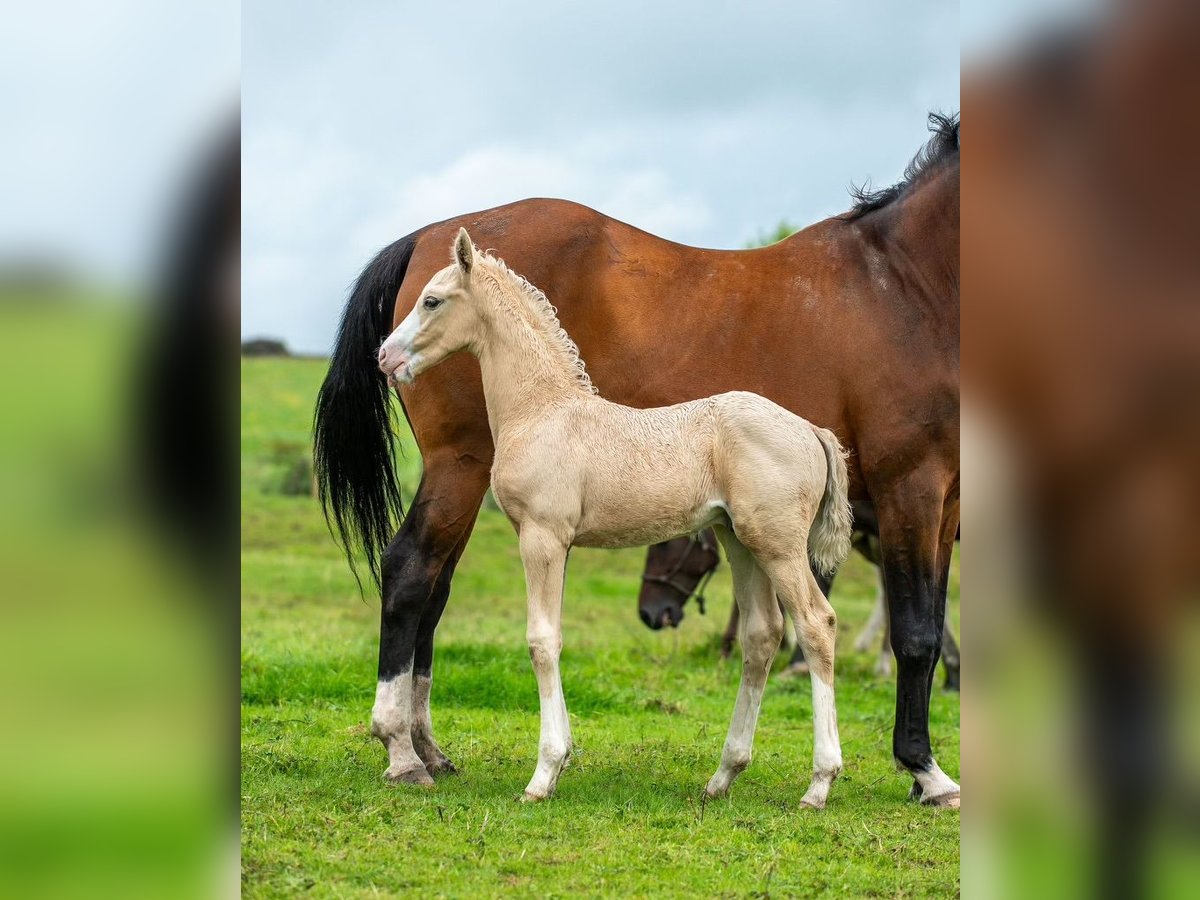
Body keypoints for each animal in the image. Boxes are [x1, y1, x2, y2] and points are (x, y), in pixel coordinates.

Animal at [374, 229, 854, 806]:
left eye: (432, 301)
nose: (384, 356)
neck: (542, 409)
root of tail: (812, 430)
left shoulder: (542, 537)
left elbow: (541, 640)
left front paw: (543, 774)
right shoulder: (556, 543)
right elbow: (554, 636)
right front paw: (560, 760)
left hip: (779, 545)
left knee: (816, 624)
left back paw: (820, 783)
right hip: (740, 541)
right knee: (762, 636)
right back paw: (723, 776)